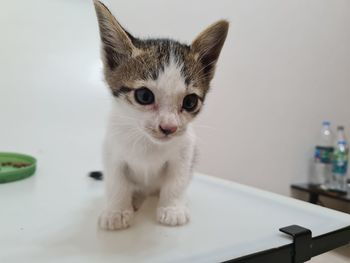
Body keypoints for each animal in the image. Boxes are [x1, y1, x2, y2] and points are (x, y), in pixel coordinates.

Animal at [93, 0, 230, 231]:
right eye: (144, 96)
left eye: (190, 102)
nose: (169, 127)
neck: (148, 144)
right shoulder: (111, 149)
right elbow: (116, 181)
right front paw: (117, 211)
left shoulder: (185, 152)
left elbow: (177, 181)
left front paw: (172, 209)